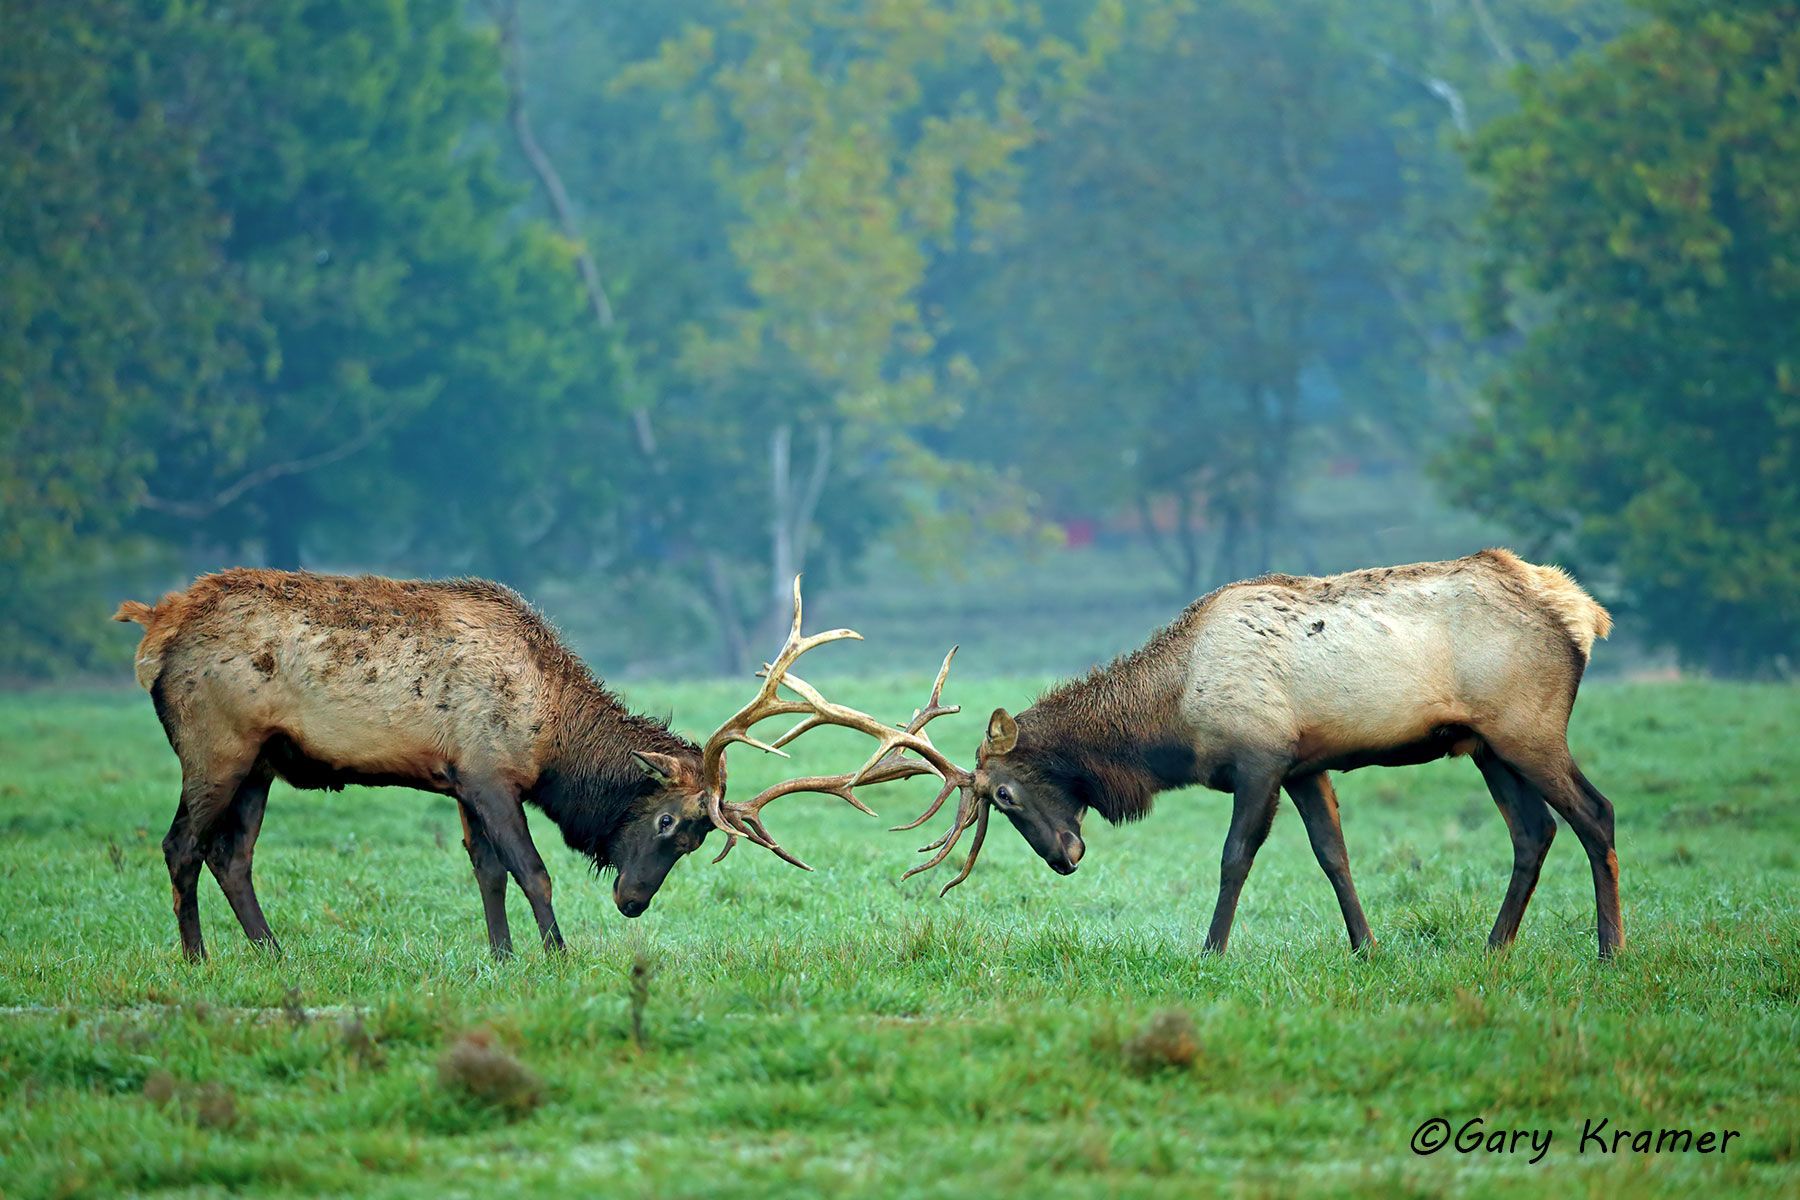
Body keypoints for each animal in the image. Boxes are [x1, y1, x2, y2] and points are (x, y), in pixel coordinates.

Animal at [116, 570, 968, 960]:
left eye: (698, 839)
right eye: (669, 820)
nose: (632, 903)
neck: (555, 733)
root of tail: (155, 627)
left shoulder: (460, 780)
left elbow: (486, 872)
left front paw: (501, 955)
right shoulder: (490, 772)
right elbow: (531, 869)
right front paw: (557, 953)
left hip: (260, 761)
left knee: (232, 854)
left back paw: (271, 952)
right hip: (215, 745)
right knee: (181, 844)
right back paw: (197, 960)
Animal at [897, 549, 1624, 958]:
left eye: (1004, 794)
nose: (1063, 857)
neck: (1173, 716)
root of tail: (1584, 612)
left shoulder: (1261, 757)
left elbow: (1234, 858)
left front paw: (1211, 951)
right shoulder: (1307, 765)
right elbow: (1334, 856)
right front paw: (1366, 948)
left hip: (1529, 728)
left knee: (1596, 814)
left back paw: (1611, 950)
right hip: (1487, 746)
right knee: (1534, 832)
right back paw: (1494, 948)